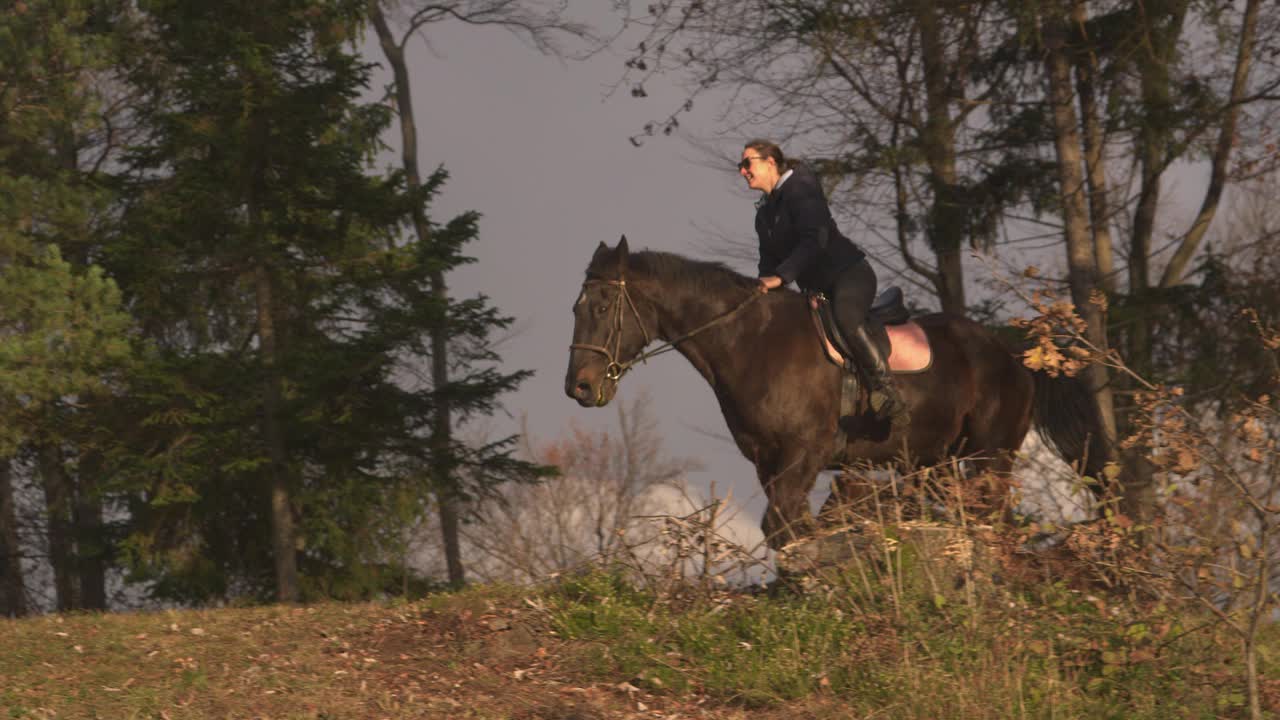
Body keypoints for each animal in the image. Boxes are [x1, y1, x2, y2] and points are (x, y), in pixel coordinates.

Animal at [565, 238, 1105, 545]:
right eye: (576, 307)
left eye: (604, 305)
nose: (579, 388)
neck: (749, 341)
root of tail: (1013, 353)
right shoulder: (769, 460)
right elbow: (788, 527)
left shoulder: (806, 450)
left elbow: (784, 526)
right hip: (936, 461)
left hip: (990, 458)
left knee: (992, 519)